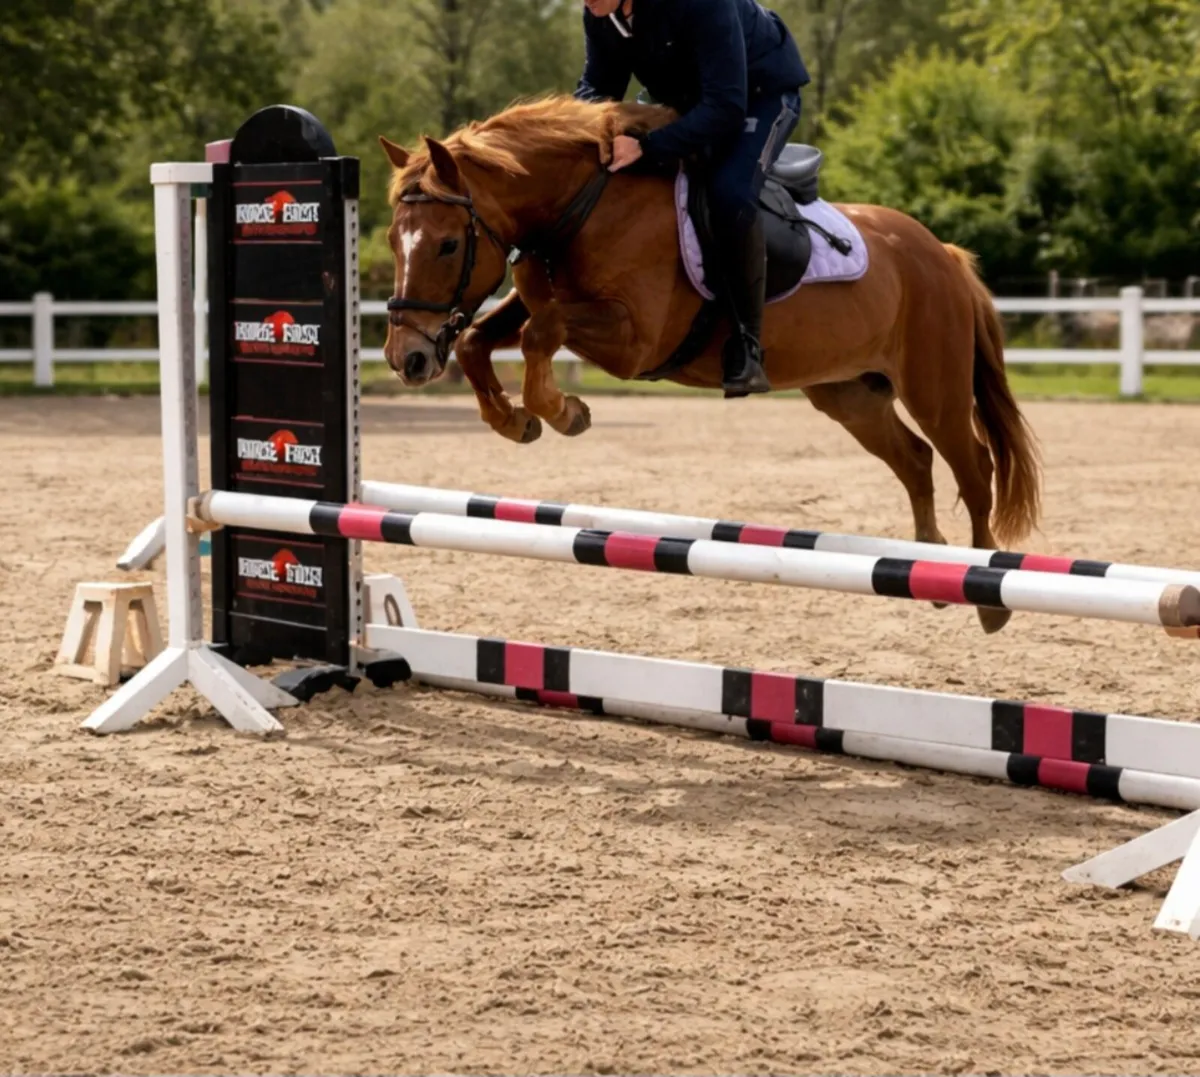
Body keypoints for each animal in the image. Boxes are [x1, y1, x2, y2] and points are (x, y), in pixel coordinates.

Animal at [378, 95, 1041, 634]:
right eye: (392, 240)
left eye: (447, 244)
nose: (407, 358)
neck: (582, 205)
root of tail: (943, 253)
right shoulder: (540, 302)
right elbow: (479, 340)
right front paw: (516, 421)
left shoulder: (633, 338)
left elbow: (544, 333)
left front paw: (565, 411)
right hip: (850, 394)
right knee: (915, 459)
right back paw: (929, 566)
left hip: (935, 389)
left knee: (973, 467)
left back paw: (986, 597)